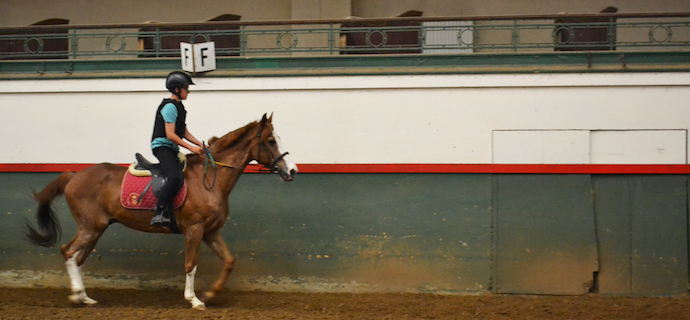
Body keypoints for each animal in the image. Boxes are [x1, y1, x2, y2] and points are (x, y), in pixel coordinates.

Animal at [22, 113, 296, 310]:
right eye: (271, 141)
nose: (291, 171)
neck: (210, 179)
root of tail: (73, 176)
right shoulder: (194, 230)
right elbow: (191, 264)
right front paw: (194, 300)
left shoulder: (211, 232)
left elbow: (229, 261)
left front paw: (211, 293)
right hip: (90, 227)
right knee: (68, 252)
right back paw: (77, 295)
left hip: (96, 228)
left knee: (78, 259)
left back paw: (84, 297)